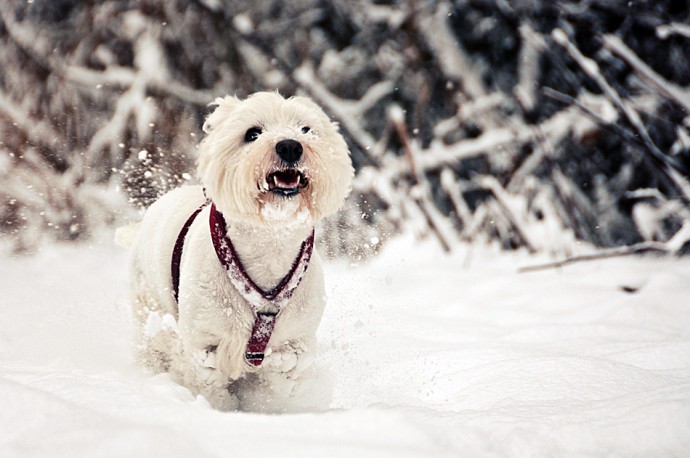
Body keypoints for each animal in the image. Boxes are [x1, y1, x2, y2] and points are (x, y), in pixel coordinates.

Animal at [128, 92, 352, 412]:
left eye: (306, 129)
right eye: (252, 133)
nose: (290, 145)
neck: (269, 246)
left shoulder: (295, 344)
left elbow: (277, 383)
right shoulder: (204, 345)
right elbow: (209, 385)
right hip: (149, 307)